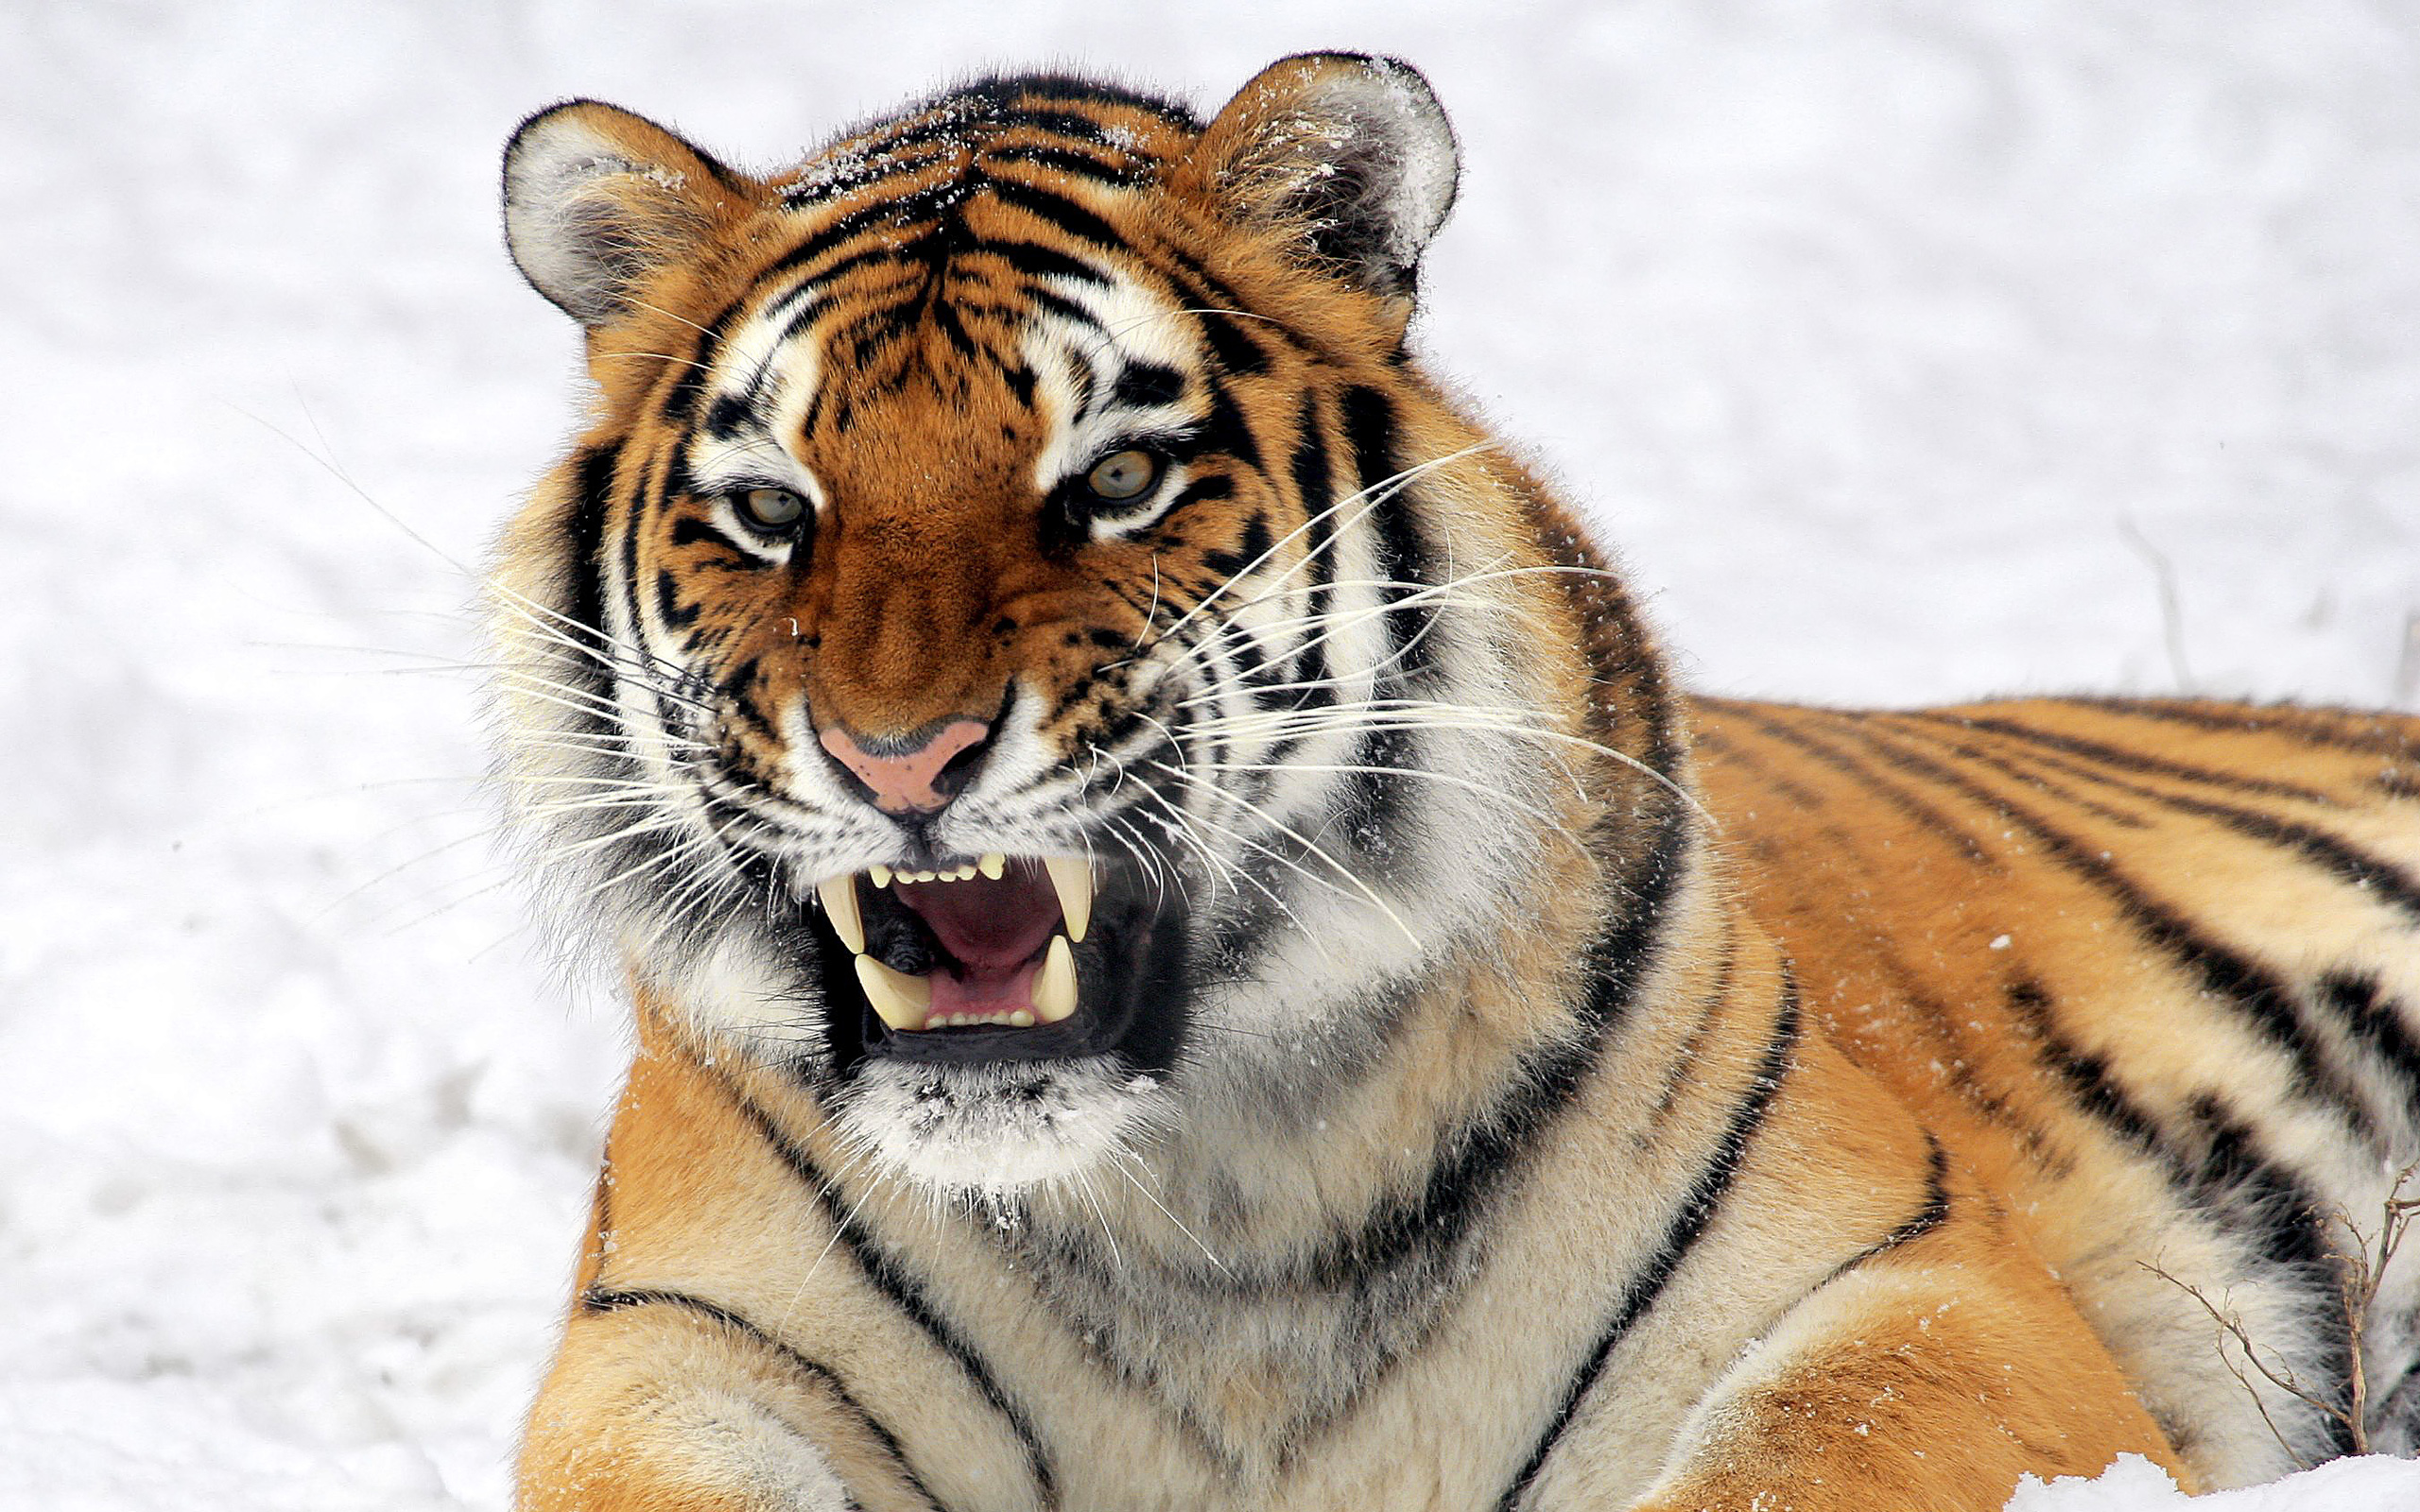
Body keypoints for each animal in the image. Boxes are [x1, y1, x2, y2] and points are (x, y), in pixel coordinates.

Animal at [491, 50, 2420, 1509]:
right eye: (770, 510)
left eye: (1111, 479)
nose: (900, 757)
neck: (1200, 1208)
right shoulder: (676, 1350)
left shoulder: (1919, 1292)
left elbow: (1802, 1461)